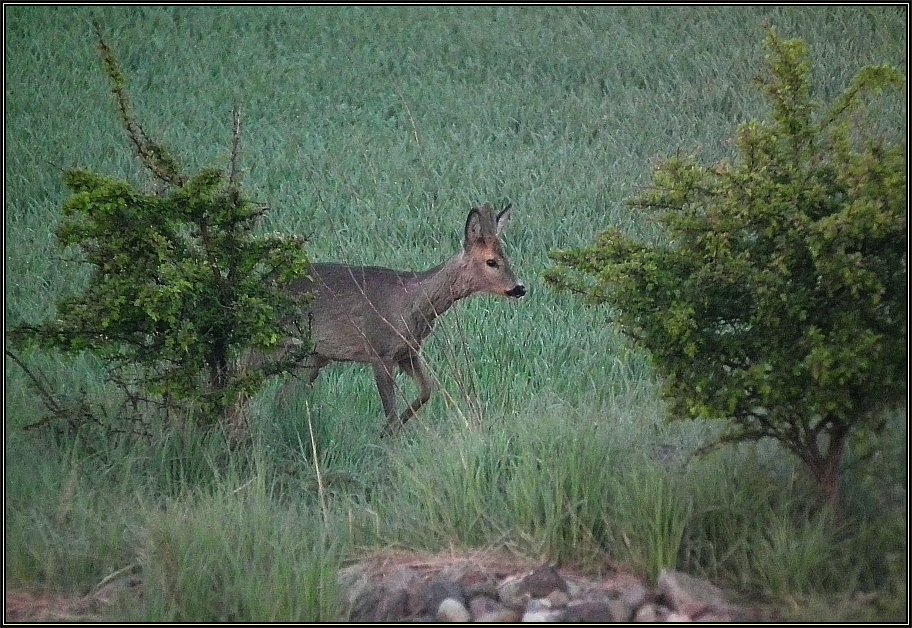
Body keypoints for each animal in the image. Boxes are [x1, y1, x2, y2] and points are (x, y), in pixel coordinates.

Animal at [284, 202, 528, 436]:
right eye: (491, 262)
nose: (520, 288)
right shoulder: (379, 351)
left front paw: (388, 431)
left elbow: (427, 390)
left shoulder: (408, 352)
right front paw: (387, 437)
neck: (410, 303)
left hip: (315, 356)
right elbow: (391, 412)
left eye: (507, 258)